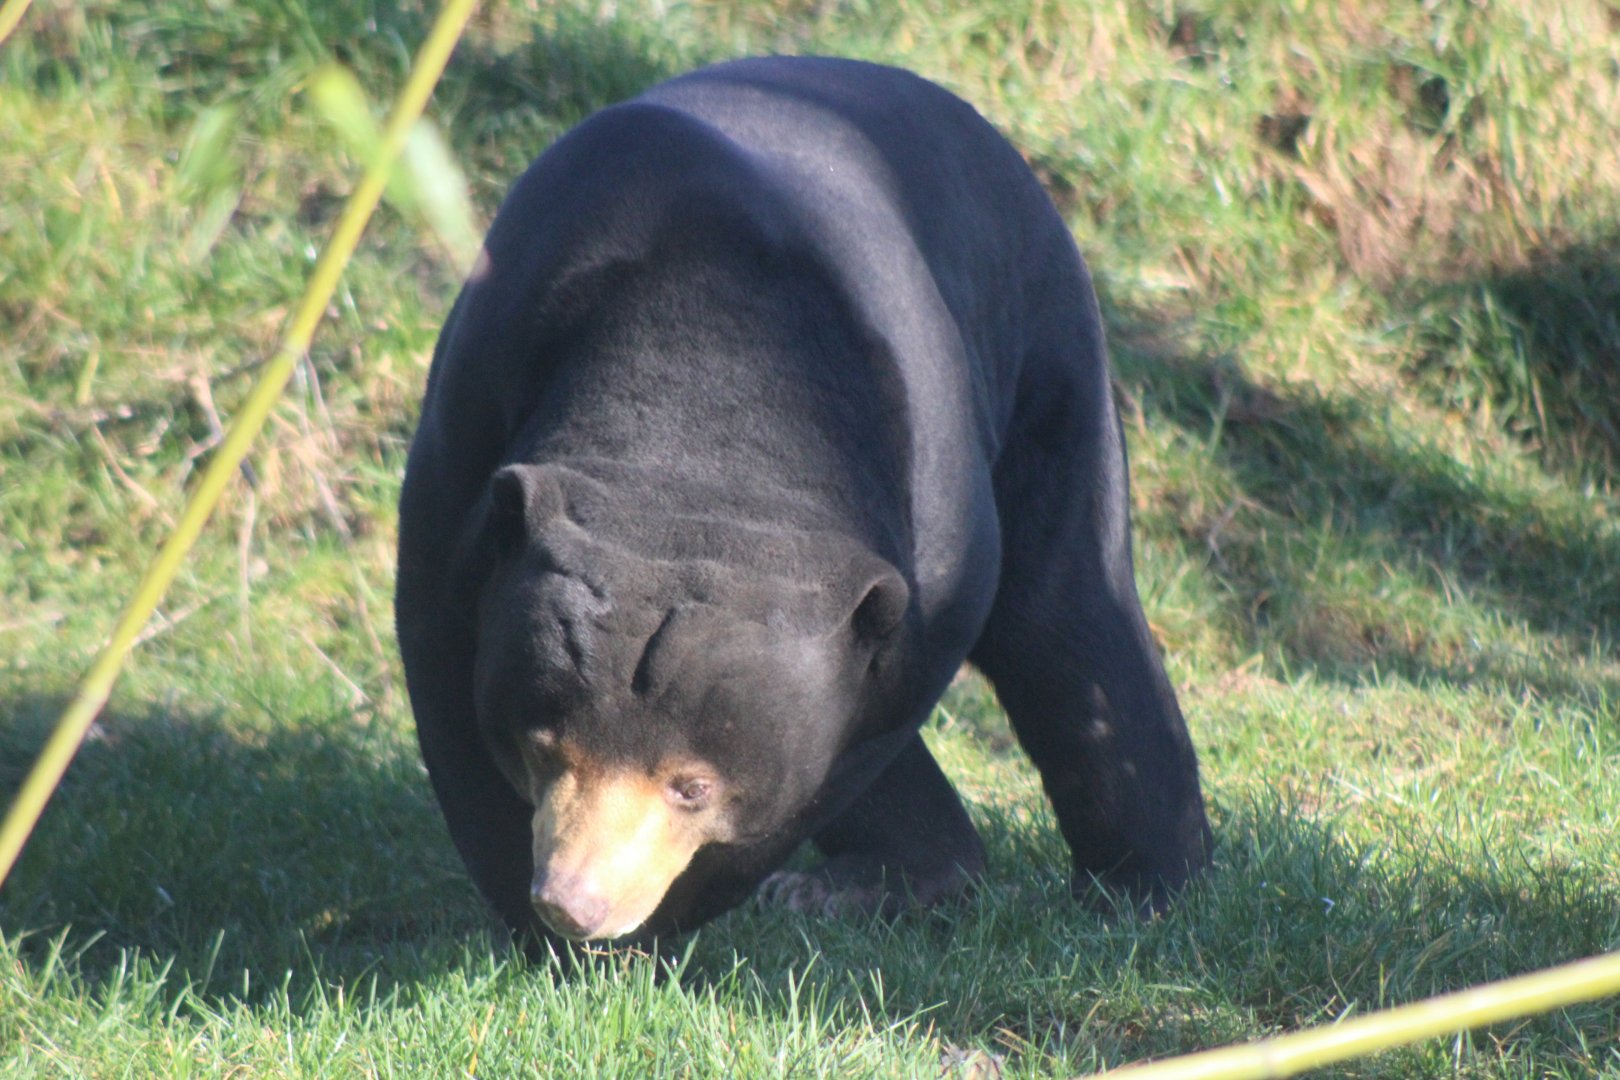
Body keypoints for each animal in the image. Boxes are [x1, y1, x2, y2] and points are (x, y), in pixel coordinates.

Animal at [395, 56, 1211, 948]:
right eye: (545, 745)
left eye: (692, 785)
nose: (574, 905)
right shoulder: (467, 436)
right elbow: (448, 669)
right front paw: (535, 922)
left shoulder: (933, 540)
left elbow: (830, 759)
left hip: (1045, 354)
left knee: (1069, 618)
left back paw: (1145, 886)